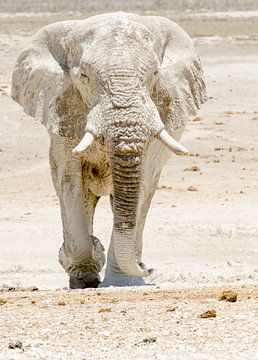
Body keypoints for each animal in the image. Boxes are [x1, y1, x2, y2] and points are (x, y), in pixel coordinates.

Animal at [11, 11, 207, 286]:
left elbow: (141, 182)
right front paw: (87, 267)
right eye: (83, 76)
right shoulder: (63, 108)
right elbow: (70, 180)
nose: (148, 268)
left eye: (155, 73)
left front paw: (121, 282)